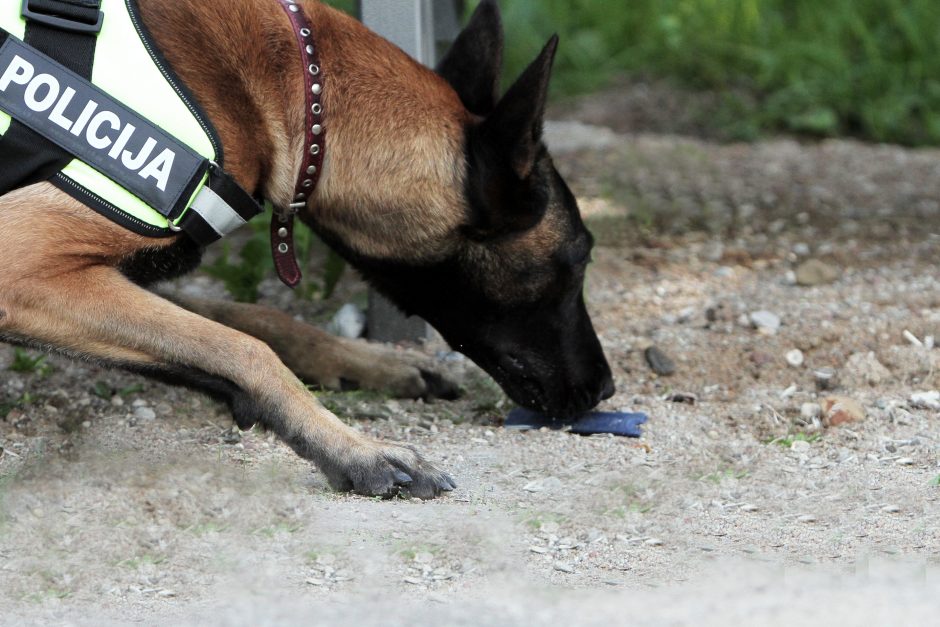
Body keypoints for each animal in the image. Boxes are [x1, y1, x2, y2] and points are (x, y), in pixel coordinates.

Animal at [0, 1, 616, 500]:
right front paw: (355, 449)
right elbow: (246, 348)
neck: (296, 89)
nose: (606, 387)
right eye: (579, 259)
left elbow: (259, 321)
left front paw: (371, 362)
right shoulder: (25, 269)